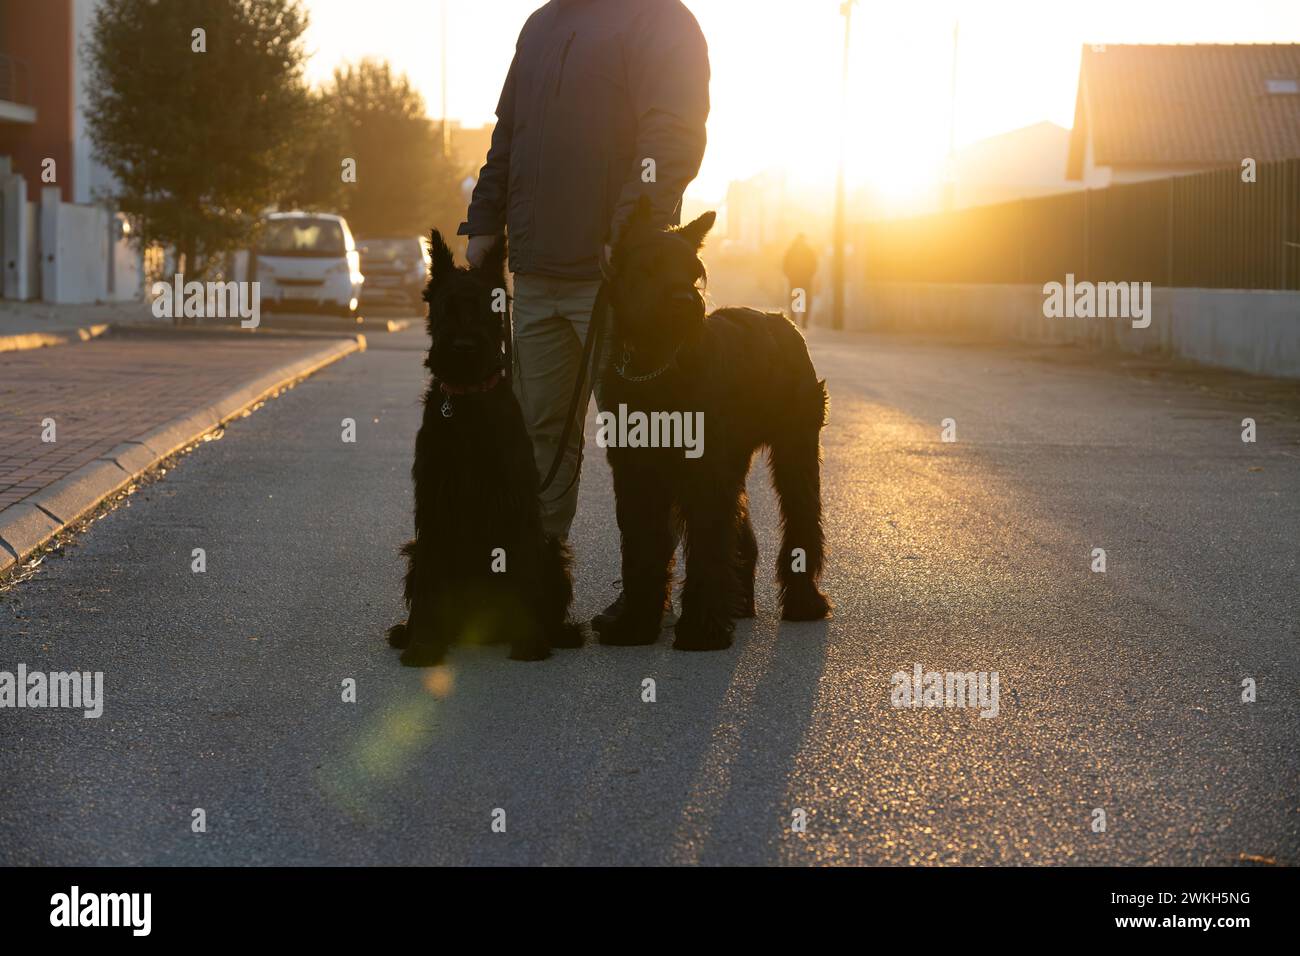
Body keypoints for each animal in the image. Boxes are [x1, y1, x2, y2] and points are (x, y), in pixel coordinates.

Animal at [384, 231, 579, 665]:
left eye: (489, 306)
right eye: (447, 306)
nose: (463, 346)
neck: (469, 401)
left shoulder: (515, 504)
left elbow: (522, 573)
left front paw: (530, 640)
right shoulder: (435, 505)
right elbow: (429, 585)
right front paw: (423, 643)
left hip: (551, 550)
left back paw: (559, 632)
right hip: (415, 551)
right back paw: (406, 632)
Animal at [598, 197, 832, 655]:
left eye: (693, 271)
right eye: (650, 266)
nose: (684, 301)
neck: (656, 368)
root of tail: (783, 322)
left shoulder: (704, 475)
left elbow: (707, 544)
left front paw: (702, 630)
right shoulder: (637, 474)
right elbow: (642, 546)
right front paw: (634, 624)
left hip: (795, 451)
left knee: (802, 519)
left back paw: (804, 602)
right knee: (741, 528)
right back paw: (738, 602)